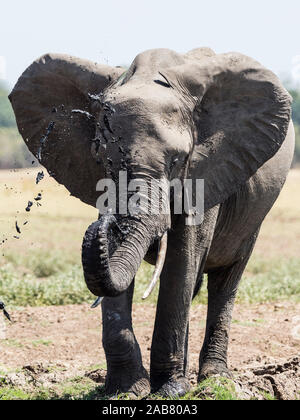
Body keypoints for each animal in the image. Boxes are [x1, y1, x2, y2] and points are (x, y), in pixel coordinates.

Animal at [8, 48, 292, 398]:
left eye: (177, 160)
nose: (102, 224)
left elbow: (181, 263)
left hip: (253, 217)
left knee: (226, 279)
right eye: (102, 156)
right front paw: (126, 390)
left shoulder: (206, 173)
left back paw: (215, 379)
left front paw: (170, 390)